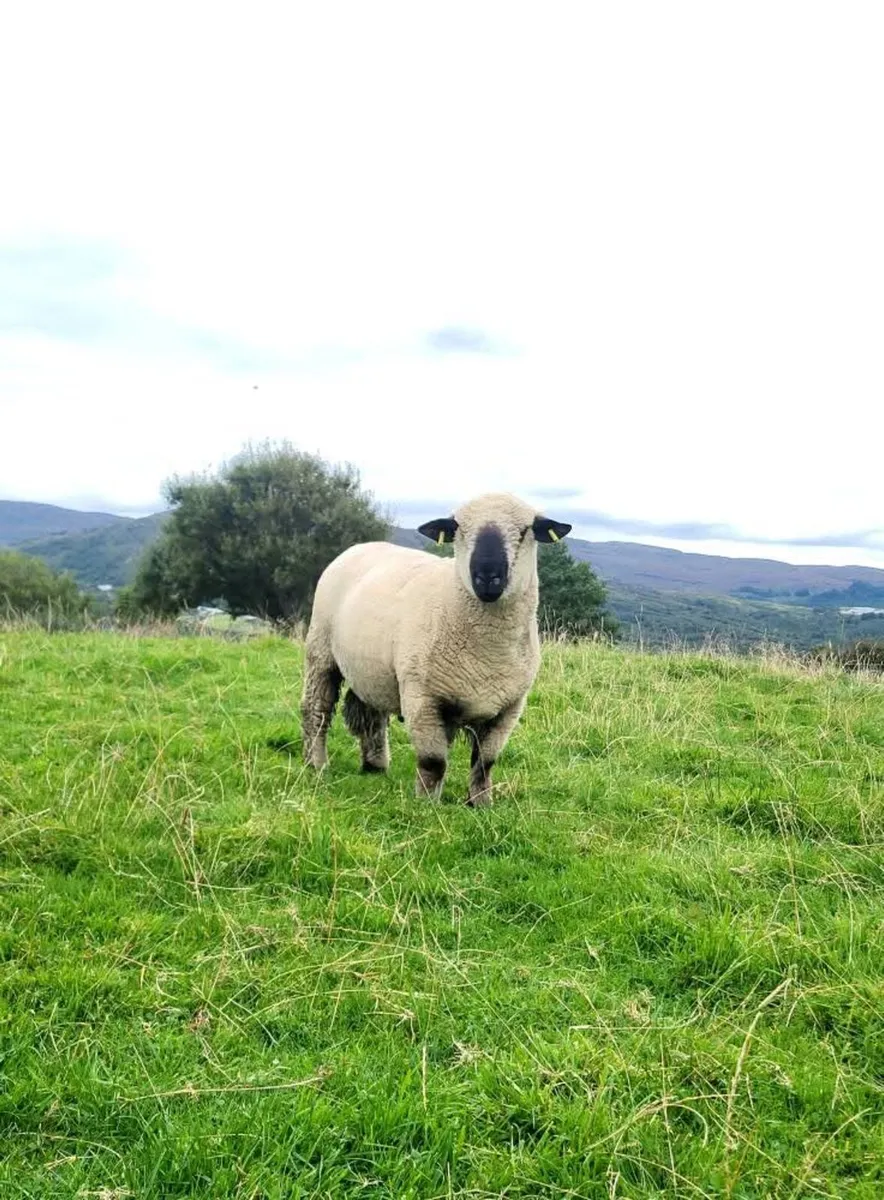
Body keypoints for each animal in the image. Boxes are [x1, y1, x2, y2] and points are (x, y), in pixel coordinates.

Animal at [300, 492, 572, 805]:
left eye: (526, 530)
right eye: (458, 528)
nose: (486, 576)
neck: (487, 656)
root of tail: (360, 547)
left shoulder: (509, 708)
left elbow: (485, 763)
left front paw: (481, 804)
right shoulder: (423, 698)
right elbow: (433, 761)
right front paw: (427, 804)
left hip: (371, 668)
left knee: (371, 714)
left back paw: (375, 766)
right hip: (321, 651)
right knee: (316, 710)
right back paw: (316, 763)